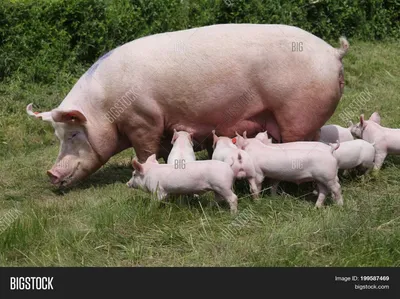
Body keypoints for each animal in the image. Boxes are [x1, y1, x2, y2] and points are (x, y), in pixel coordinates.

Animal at [26, 24, 348, 188]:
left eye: (73, 134)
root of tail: (333, 52)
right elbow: (163, 148)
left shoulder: (142, 120)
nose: (50, 174)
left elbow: (145, 150)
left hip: (297, 112)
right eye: (57, 135)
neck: (104, 109)